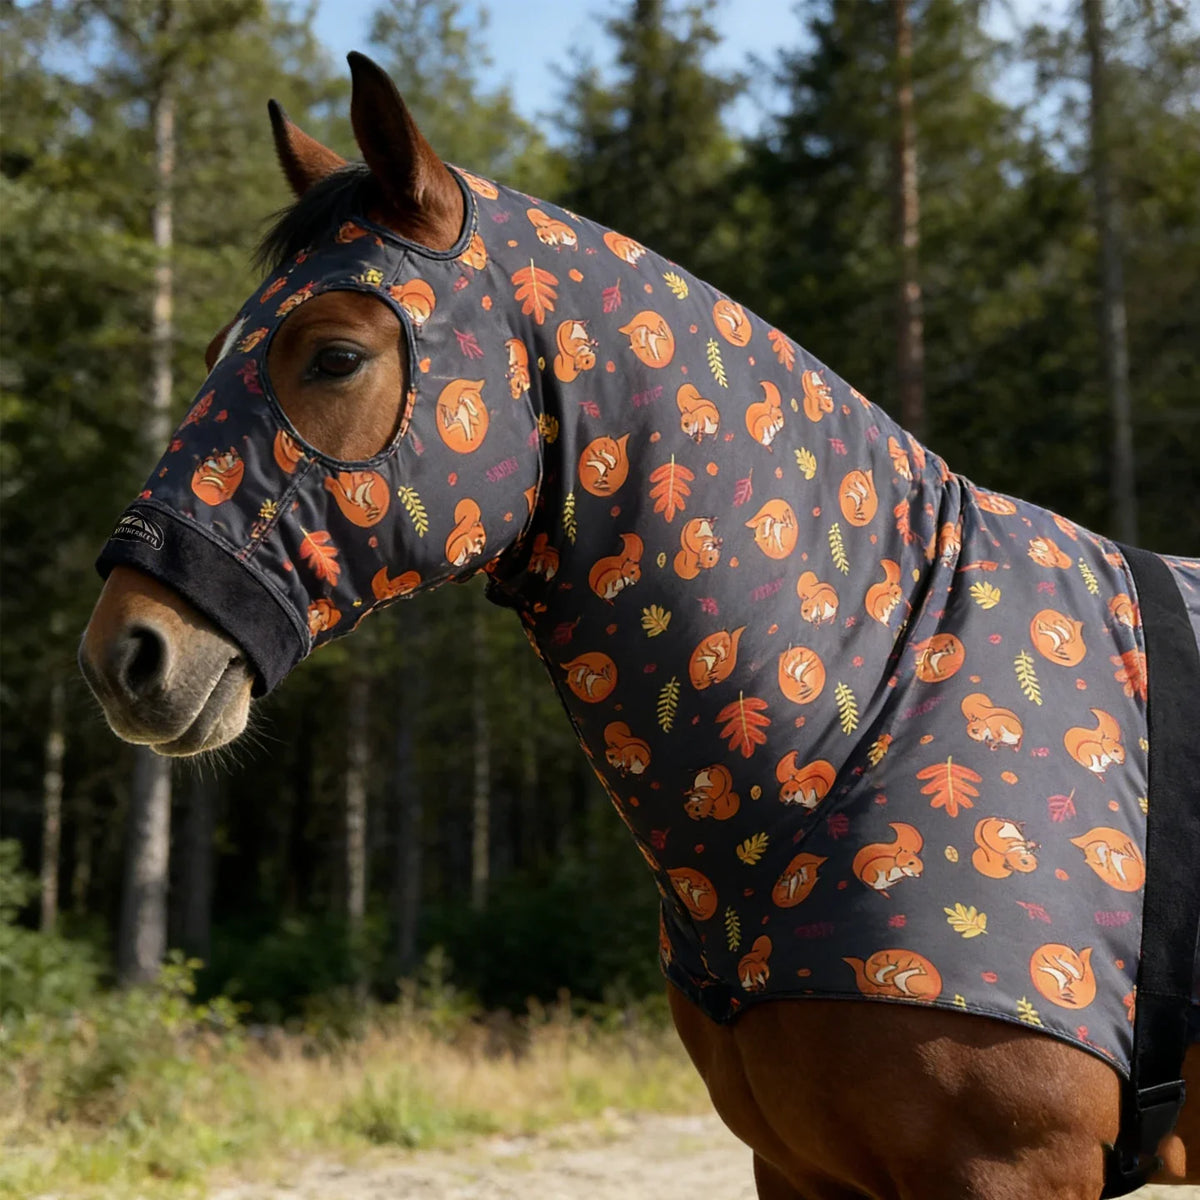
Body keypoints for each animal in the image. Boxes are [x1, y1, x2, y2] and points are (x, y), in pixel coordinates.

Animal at [79, 53, 1200, 1199]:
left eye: (336, 356)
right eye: (212, 350)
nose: (126, 653)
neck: (872, 715)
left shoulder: (1007, 1169)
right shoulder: (795, 1166)